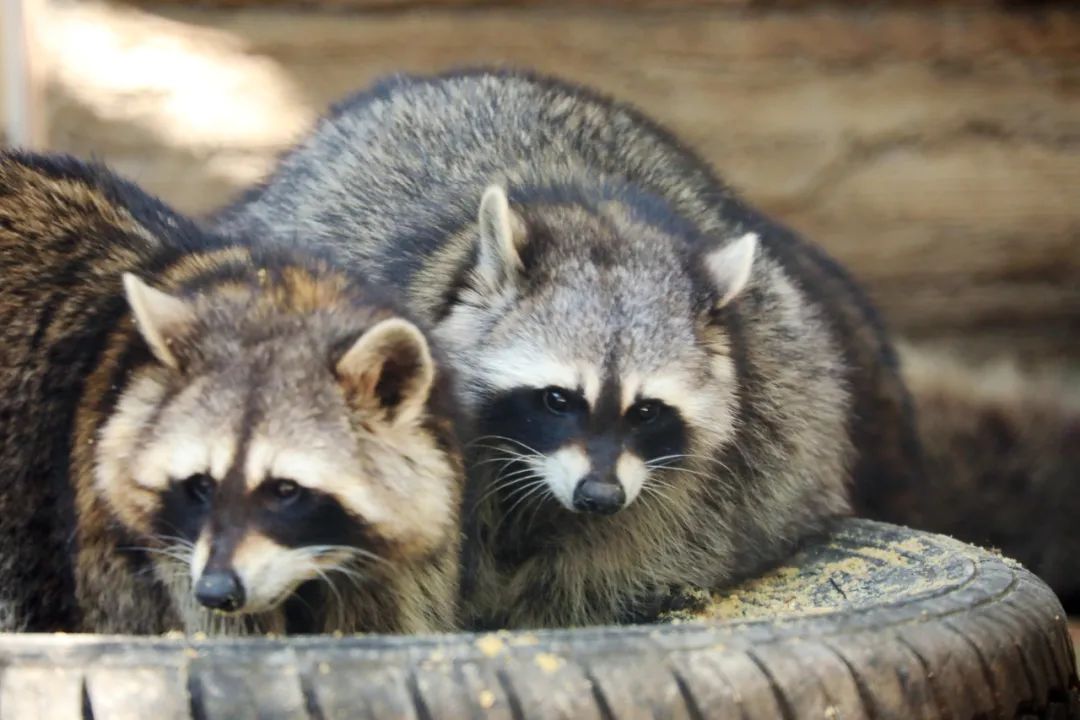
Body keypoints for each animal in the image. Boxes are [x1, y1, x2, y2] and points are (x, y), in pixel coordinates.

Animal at [217, 69, 920, 630]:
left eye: (647, 411)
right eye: (558, 399)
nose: (597, 496)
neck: (591, 208)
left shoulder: (749, 433)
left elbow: (641, 546)